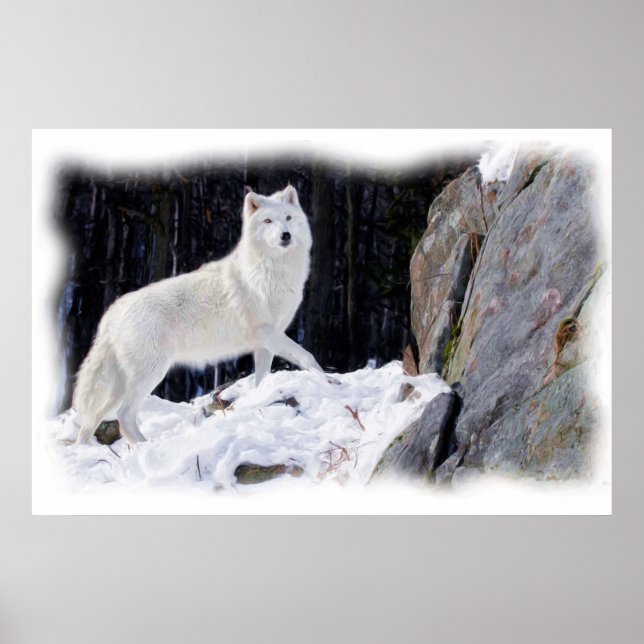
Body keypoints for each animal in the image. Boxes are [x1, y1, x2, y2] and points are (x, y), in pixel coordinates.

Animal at [72, 185, 327, 444]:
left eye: (288, 218)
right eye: (268, 221)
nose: (285, 235)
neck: (272, 271)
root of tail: (113, 312)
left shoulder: (264, 344)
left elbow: (261, 379)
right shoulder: (268, 332)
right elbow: (307, 356)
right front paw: (328, 381)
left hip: (121, 386)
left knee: (92, 420)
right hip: (151, 373)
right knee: (124, 416)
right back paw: (147, 446)